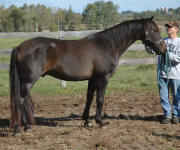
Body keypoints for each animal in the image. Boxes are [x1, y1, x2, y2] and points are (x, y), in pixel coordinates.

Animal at [9, 16, 167, 134]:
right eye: (154, 29)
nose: (164, 49)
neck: (108, 45)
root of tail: (19, 46)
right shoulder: (103, 78)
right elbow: (100, 99)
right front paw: (100, 122)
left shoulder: (92, 79)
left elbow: (89, 98)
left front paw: (86, 121)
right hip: (28, 81)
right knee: (19, 100)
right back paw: (18, 129)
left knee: (23, 101)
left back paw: (27, 126)